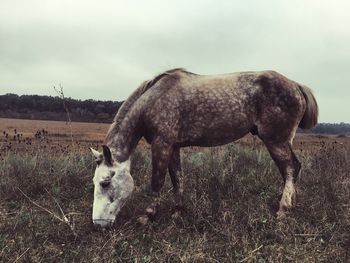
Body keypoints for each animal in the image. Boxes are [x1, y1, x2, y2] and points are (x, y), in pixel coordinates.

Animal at [89, 68, 318, 229]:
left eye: (105, 182)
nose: (98, 224)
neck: (153, 100)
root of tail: (297, 86)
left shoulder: (162, 144)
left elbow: (157, 181)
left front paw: (147, 216)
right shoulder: (173, 147)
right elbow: (178, 179)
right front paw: (178, 212)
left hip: (276, 141)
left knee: (291, 168)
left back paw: (283, 210)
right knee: (290, 170)